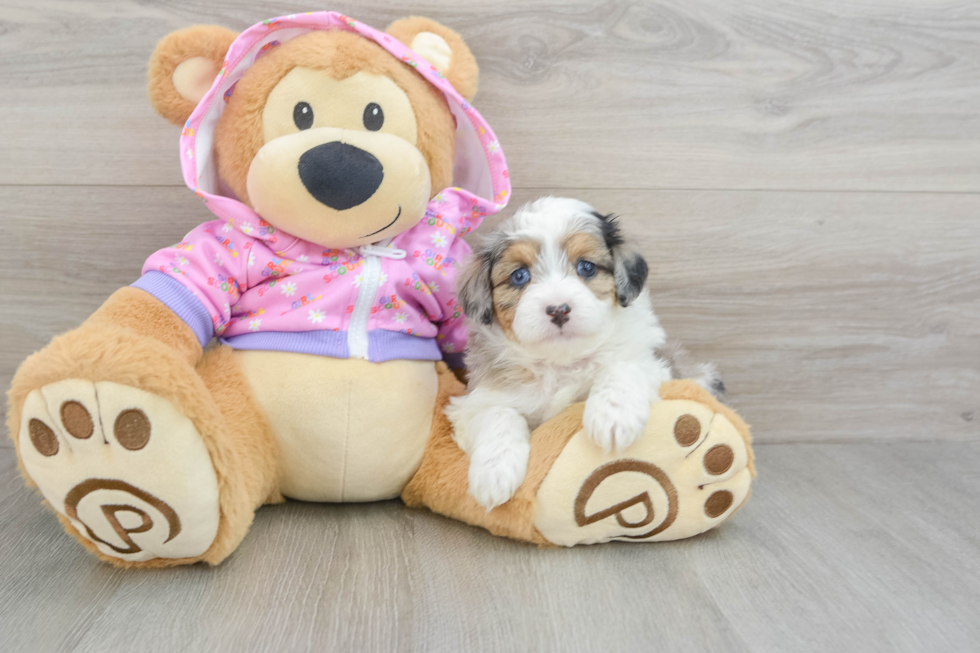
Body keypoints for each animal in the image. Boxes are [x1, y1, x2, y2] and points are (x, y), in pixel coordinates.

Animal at [444, 196, 720, 506]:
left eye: (586, 267)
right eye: (519, 276)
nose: (558, 309)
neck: (561, 360)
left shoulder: (653, 363)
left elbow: (621, 367)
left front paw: (613, 416)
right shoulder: (473, 403)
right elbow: (498, 414)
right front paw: (494, 473)